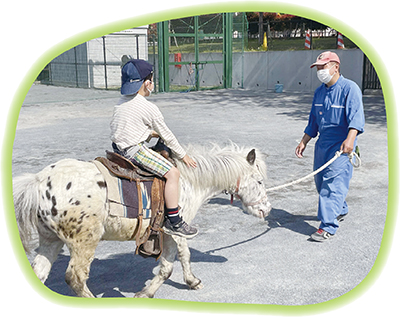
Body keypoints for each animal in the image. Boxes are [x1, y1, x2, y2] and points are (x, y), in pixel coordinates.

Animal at [14, 143, 272, 296]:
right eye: (259, 181)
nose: (267, 210)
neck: (189, 180)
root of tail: (39, 181)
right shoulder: (175, 230)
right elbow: (174, 263)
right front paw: (149, 292)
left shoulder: (170, 233)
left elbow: (175, 261)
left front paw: (189, 282)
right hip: (84, 242)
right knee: (76, 278)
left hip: (50, 240)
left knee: (40, 273)